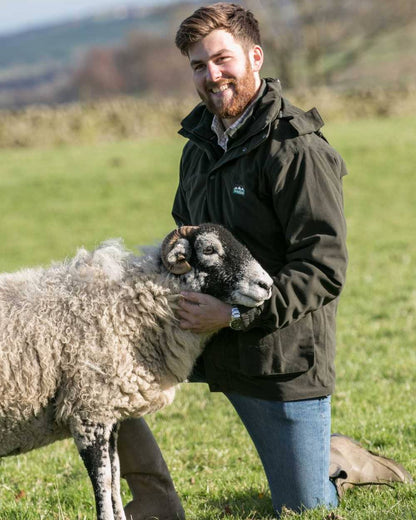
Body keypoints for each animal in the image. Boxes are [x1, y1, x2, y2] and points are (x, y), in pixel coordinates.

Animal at [0, 223, 272, 520]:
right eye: (209, 249)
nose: (267, 285)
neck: (128, 306)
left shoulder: (108, 412)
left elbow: (116, 474)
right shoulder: (88, 410)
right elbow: (104, 479)